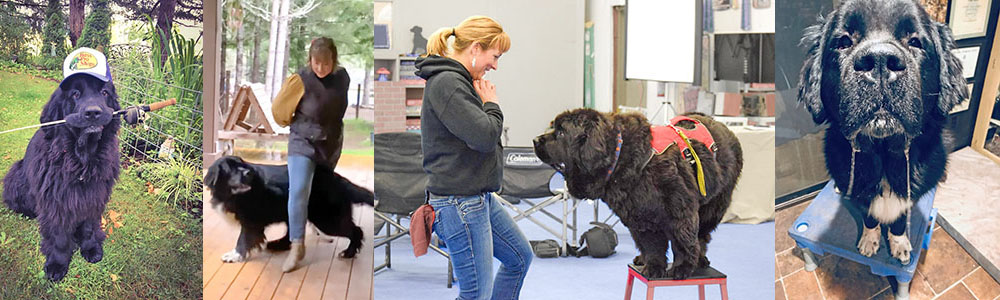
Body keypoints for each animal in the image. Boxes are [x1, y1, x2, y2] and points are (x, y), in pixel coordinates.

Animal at [2, 72, 121, 282]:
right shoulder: (56, 202)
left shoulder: (94, 196)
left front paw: (91, 248)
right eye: (75, 94)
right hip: (15, 175)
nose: (93, 112)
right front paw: (57, 264)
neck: (81, 161)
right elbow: (59, 237)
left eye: (104, 92)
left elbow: (89, 226)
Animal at [205, 156, 374, 262]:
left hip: (327, 219)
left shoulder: (251, 222)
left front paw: (235, 255)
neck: (231, 194)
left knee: (356, 230)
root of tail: (338, 179)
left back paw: (349, 253)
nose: (248, 173)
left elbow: (243, 239)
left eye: (242, 165)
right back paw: (279, 245)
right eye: (230, 168)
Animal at [536, 110, 740, 278]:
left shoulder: (680, 211)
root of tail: (720, 123)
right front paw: (653, 267)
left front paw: (681, 268)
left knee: (702, 235)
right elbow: (651, 245)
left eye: (561, 133)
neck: (620, 157)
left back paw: (699, 259)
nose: (536, 140)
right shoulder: (639, 215)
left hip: (713, 205)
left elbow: (682, 240)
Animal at [792, 0, 964, 264]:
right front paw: (870, 240)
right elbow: (870, 217)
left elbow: (899, 222)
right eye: (844, 42)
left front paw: (899, 243)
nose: (880, 60)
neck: (883, 156)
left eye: (915, 41)